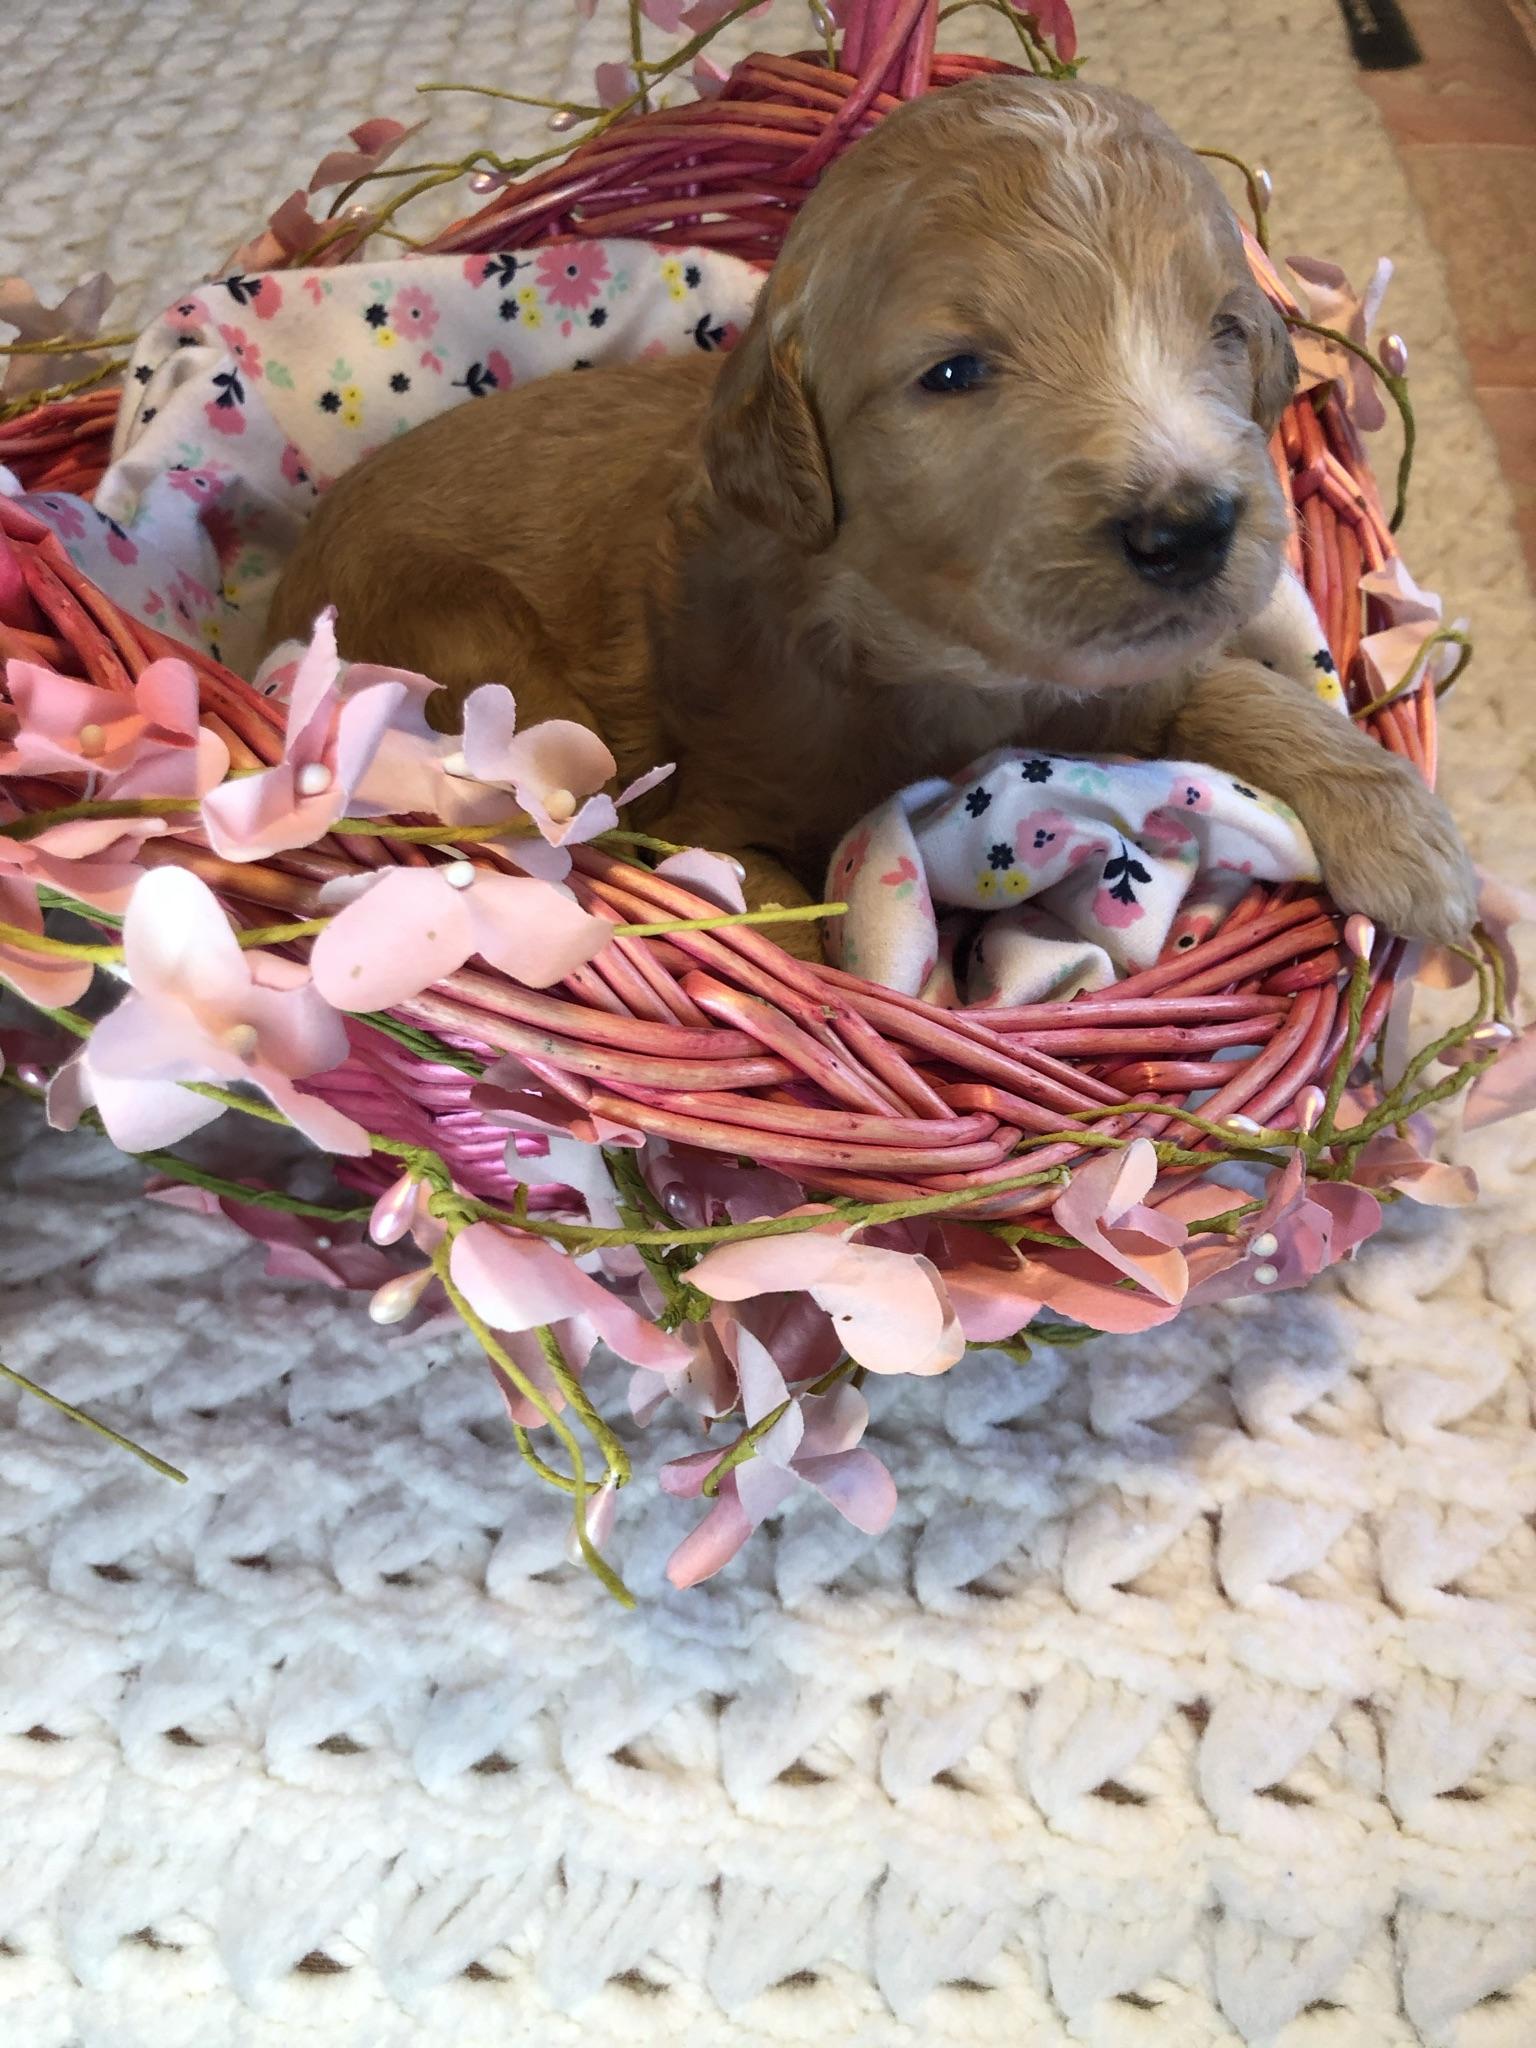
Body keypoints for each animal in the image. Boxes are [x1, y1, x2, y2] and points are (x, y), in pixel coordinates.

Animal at [268, 75, 1476, 955]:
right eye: (953, 372)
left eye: (1226, 331)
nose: (1189, 528)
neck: (941, 665)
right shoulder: (708, 807)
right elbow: (766, 908)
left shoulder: (1124, 683)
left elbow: (1238, 689)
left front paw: (1407, 833)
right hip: (471, 652)